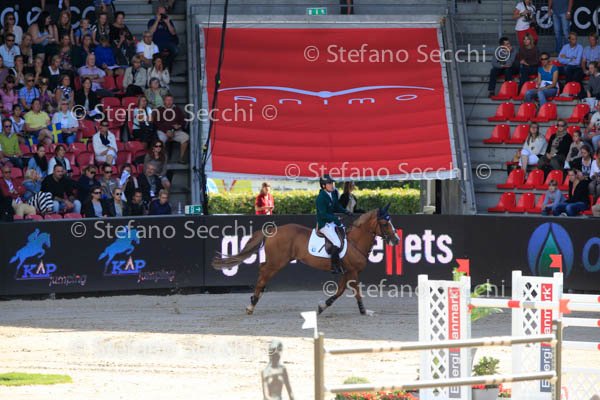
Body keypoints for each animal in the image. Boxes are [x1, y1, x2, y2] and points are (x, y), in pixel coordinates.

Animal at [212, 204, 400, 315]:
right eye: (385, 224)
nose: (396, 240)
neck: (355, 241)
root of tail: (273, 230)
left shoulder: (346, 271)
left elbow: (339, 291)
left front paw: (322, 306)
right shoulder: (353, 271)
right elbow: (356, 291)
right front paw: (364, 311)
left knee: (262, 272)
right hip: (276, 262)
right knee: (263, 275)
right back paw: (252, 305)